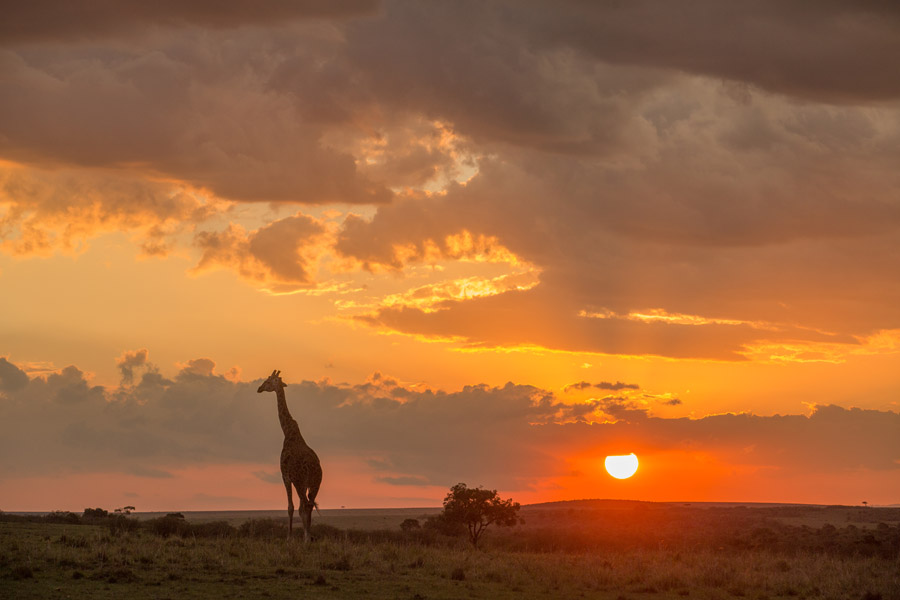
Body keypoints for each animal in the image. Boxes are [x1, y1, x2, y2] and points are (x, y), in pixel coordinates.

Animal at [255, 368, 322, 540]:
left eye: (268, 381)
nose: (259, 388)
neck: (288, 432)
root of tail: (313, 468)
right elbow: (297, 507)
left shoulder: (285, 475)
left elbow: (290, 507)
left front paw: (289, 538)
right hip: (315, 483)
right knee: (308, 505)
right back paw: (308, 537)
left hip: (300, 482)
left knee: (305, 505)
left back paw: (306, 538)